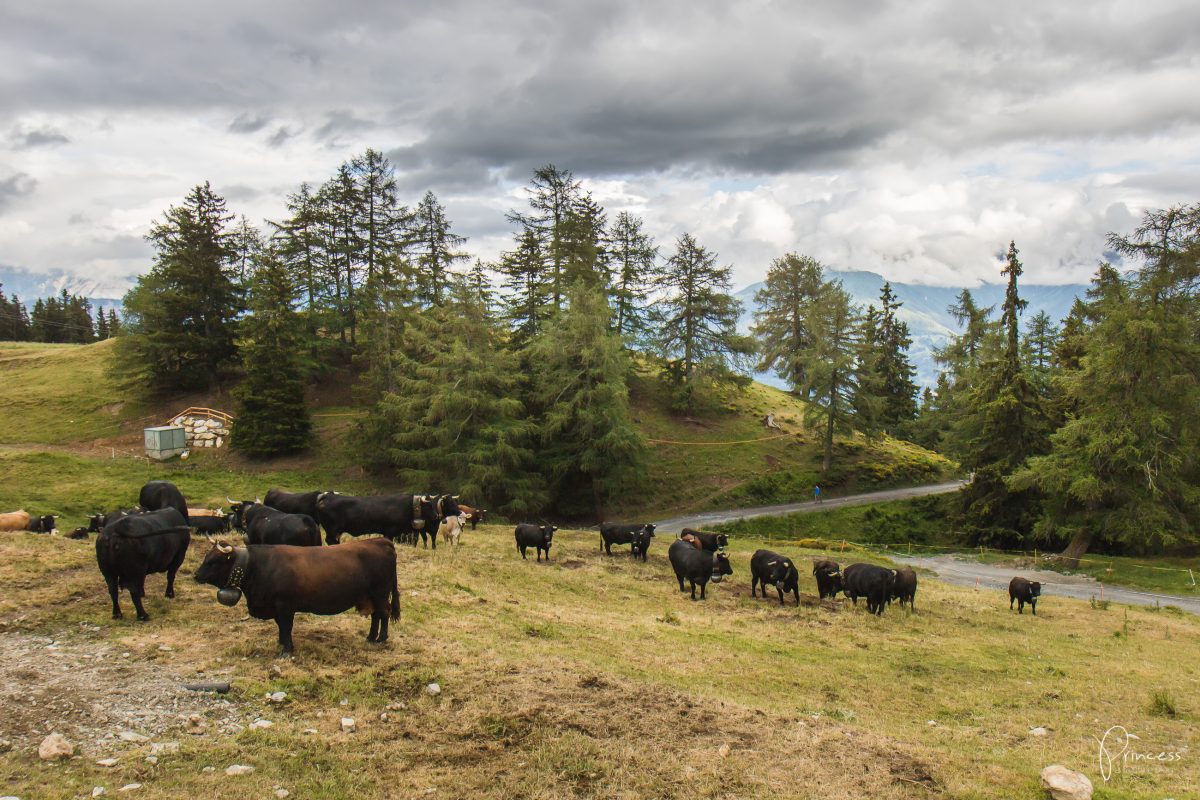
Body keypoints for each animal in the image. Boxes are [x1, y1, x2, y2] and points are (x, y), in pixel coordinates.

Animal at [194, 537, 400, 657]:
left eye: (214, 561)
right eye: (206, 557)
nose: (196, 575)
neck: (257, 565)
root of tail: (380, 540)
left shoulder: (284, 606)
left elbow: (286, 627)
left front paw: (287, 650)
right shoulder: (277, 607)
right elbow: (280, 627)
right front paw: (281, 643)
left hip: (380, 593)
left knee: (384, 613)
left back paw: (381, 638)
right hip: (372, 596)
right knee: (376, 615)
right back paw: (370, 637)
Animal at [316, 491, 460, 546]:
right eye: (428, 505)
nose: (436, 516)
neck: (407, 506)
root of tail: (327, 496)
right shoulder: (389, 532)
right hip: (332, 529)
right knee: (329, 540)